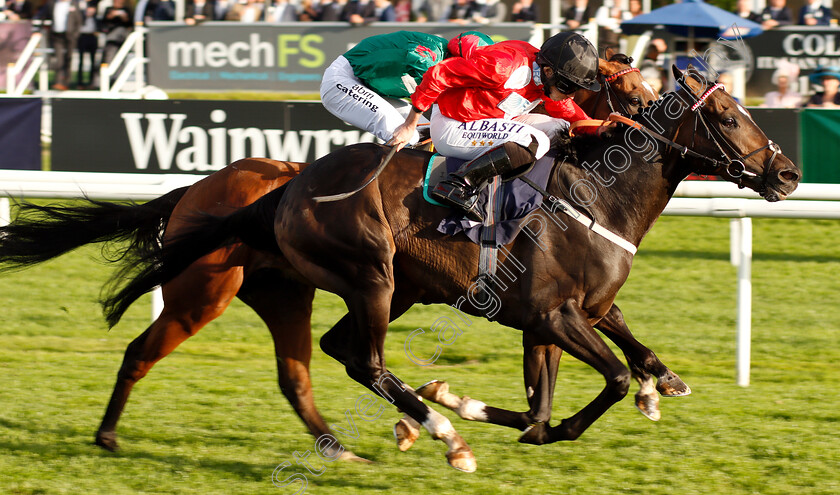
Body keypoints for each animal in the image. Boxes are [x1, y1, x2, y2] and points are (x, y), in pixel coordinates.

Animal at [0, 53, 668, 458]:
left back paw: (355, 441)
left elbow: (590, 355)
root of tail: (201, 188)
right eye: (631, 86)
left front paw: (656, 381)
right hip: (225, 290)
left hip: (295, 291)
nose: (645, 117)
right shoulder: (542, 302)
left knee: (304, 367)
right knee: (151, 350)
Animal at [95, 67, 796, 472]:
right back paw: (437, 432)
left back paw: (371, 437)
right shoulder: (553, 315)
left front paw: (660, 383)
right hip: (345, 278)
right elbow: (608, 382)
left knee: (317, 361)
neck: (596, 195)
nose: (787, 173)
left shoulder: (561, 319)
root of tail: (285, 189)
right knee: (362, 361)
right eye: (729, 117)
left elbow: (549, 405)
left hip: (328, 290)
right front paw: (460, 407)